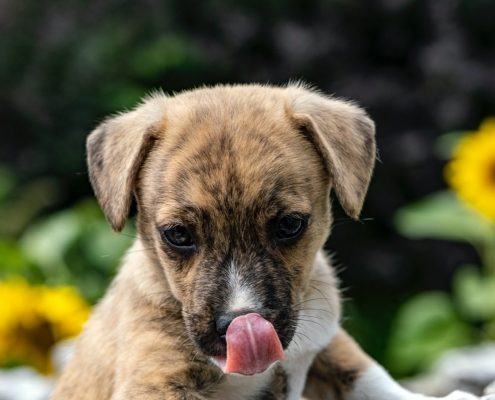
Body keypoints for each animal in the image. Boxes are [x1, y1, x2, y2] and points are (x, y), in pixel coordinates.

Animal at [52, 83, 490, 400]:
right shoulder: (154, 380)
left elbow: (368, 376)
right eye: (177, 235)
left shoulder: (324, 341)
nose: (240, 321)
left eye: (289, 225)